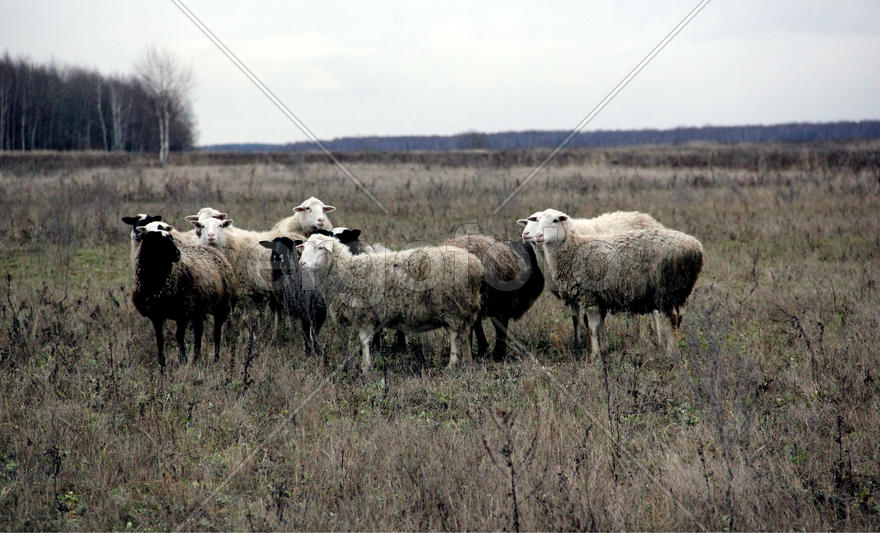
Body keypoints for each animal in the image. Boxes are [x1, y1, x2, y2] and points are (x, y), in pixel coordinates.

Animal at [130, 221, 233, 368]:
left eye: (170, 237)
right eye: (156, 240)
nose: (177, 254)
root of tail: (212, 249)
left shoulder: (182, 311)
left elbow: (179, 336)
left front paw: (183, 360)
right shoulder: (156, 314)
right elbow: (160, 338)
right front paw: (162, 365)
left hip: (221, 305)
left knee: (216, 332)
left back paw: (215, 359)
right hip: (197, 309)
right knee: (198, 331)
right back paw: (196, 359)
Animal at [297, 234, 483, 374]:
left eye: (320, 248)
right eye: (304, 248)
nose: (301, 263)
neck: (346, 271)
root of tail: (475, 264)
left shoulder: (364, 314)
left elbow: (364, 341)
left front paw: (366, 367)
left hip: (451, 307)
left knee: (454, 334)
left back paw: (452, 364)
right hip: (463, 308)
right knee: (464, 334)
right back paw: (468, 362)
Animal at [534, 209, 703, 359]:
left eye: (555, 220)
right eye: (537, 220)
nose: (538, 236)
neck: (574, 250)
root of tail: (695, 248)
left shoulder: (589, 297)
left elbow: (592, 328)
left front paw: (594, 355)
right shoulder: (598, 299)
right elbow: (598, 326)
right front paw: (602, 349)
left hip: (666, 289)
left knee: (671, 320)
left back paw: (670, 353)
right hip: (679, 291)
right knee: (678, 319)